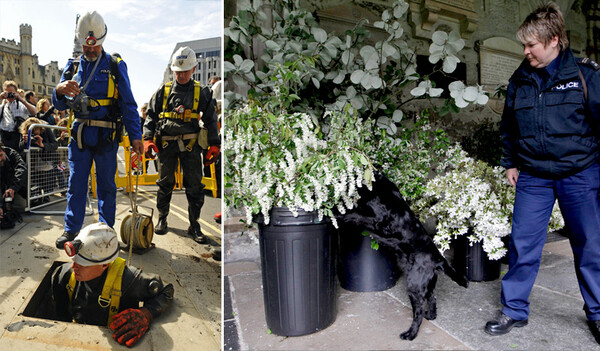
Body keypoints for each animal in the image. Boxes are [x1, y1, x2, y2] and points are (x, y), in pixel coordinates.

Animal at [340, 173, 466, 340]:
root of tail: (439, 259)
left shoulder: (378, 222)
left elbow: (358, 215)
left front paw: (342, 214)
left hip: (415, 287)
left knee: (418, 313)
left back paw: (410, 334)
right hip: (427, 285)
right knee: (432, 299)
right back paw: (430, 316)